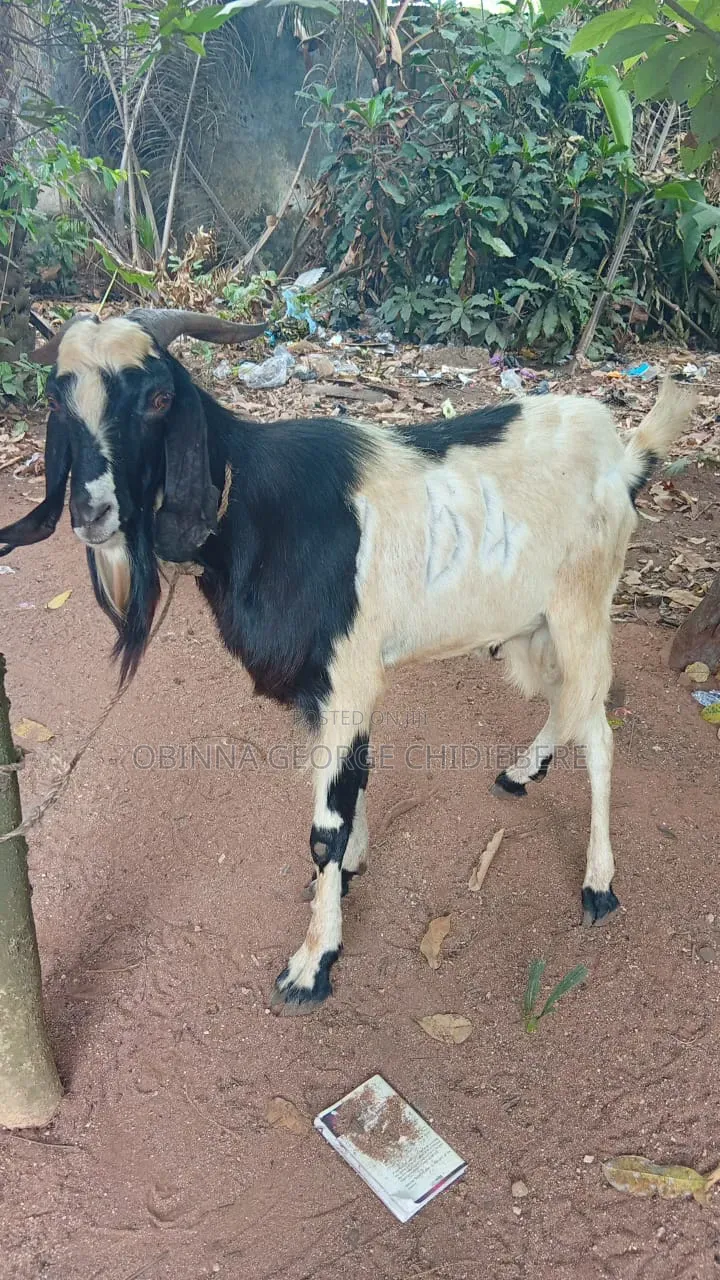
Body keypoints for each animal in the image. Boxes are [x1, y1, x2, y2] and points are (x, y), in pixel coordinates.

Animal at [0, 310, 695, 1012]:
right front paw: (350, 871)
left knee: (599, 730)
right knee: (566, 706)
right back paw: (523, 773)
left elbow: (324, 828)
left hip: (582, 609)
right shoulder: (324, 691)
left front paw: (314, 961)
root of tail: (624, 458)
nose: (91, 512)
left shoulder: (347, 679)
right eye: (57, 399)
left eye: (159, 398)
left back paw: (599, 884)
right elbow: (351, 787)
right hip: (529, 630)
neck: (257, 510)